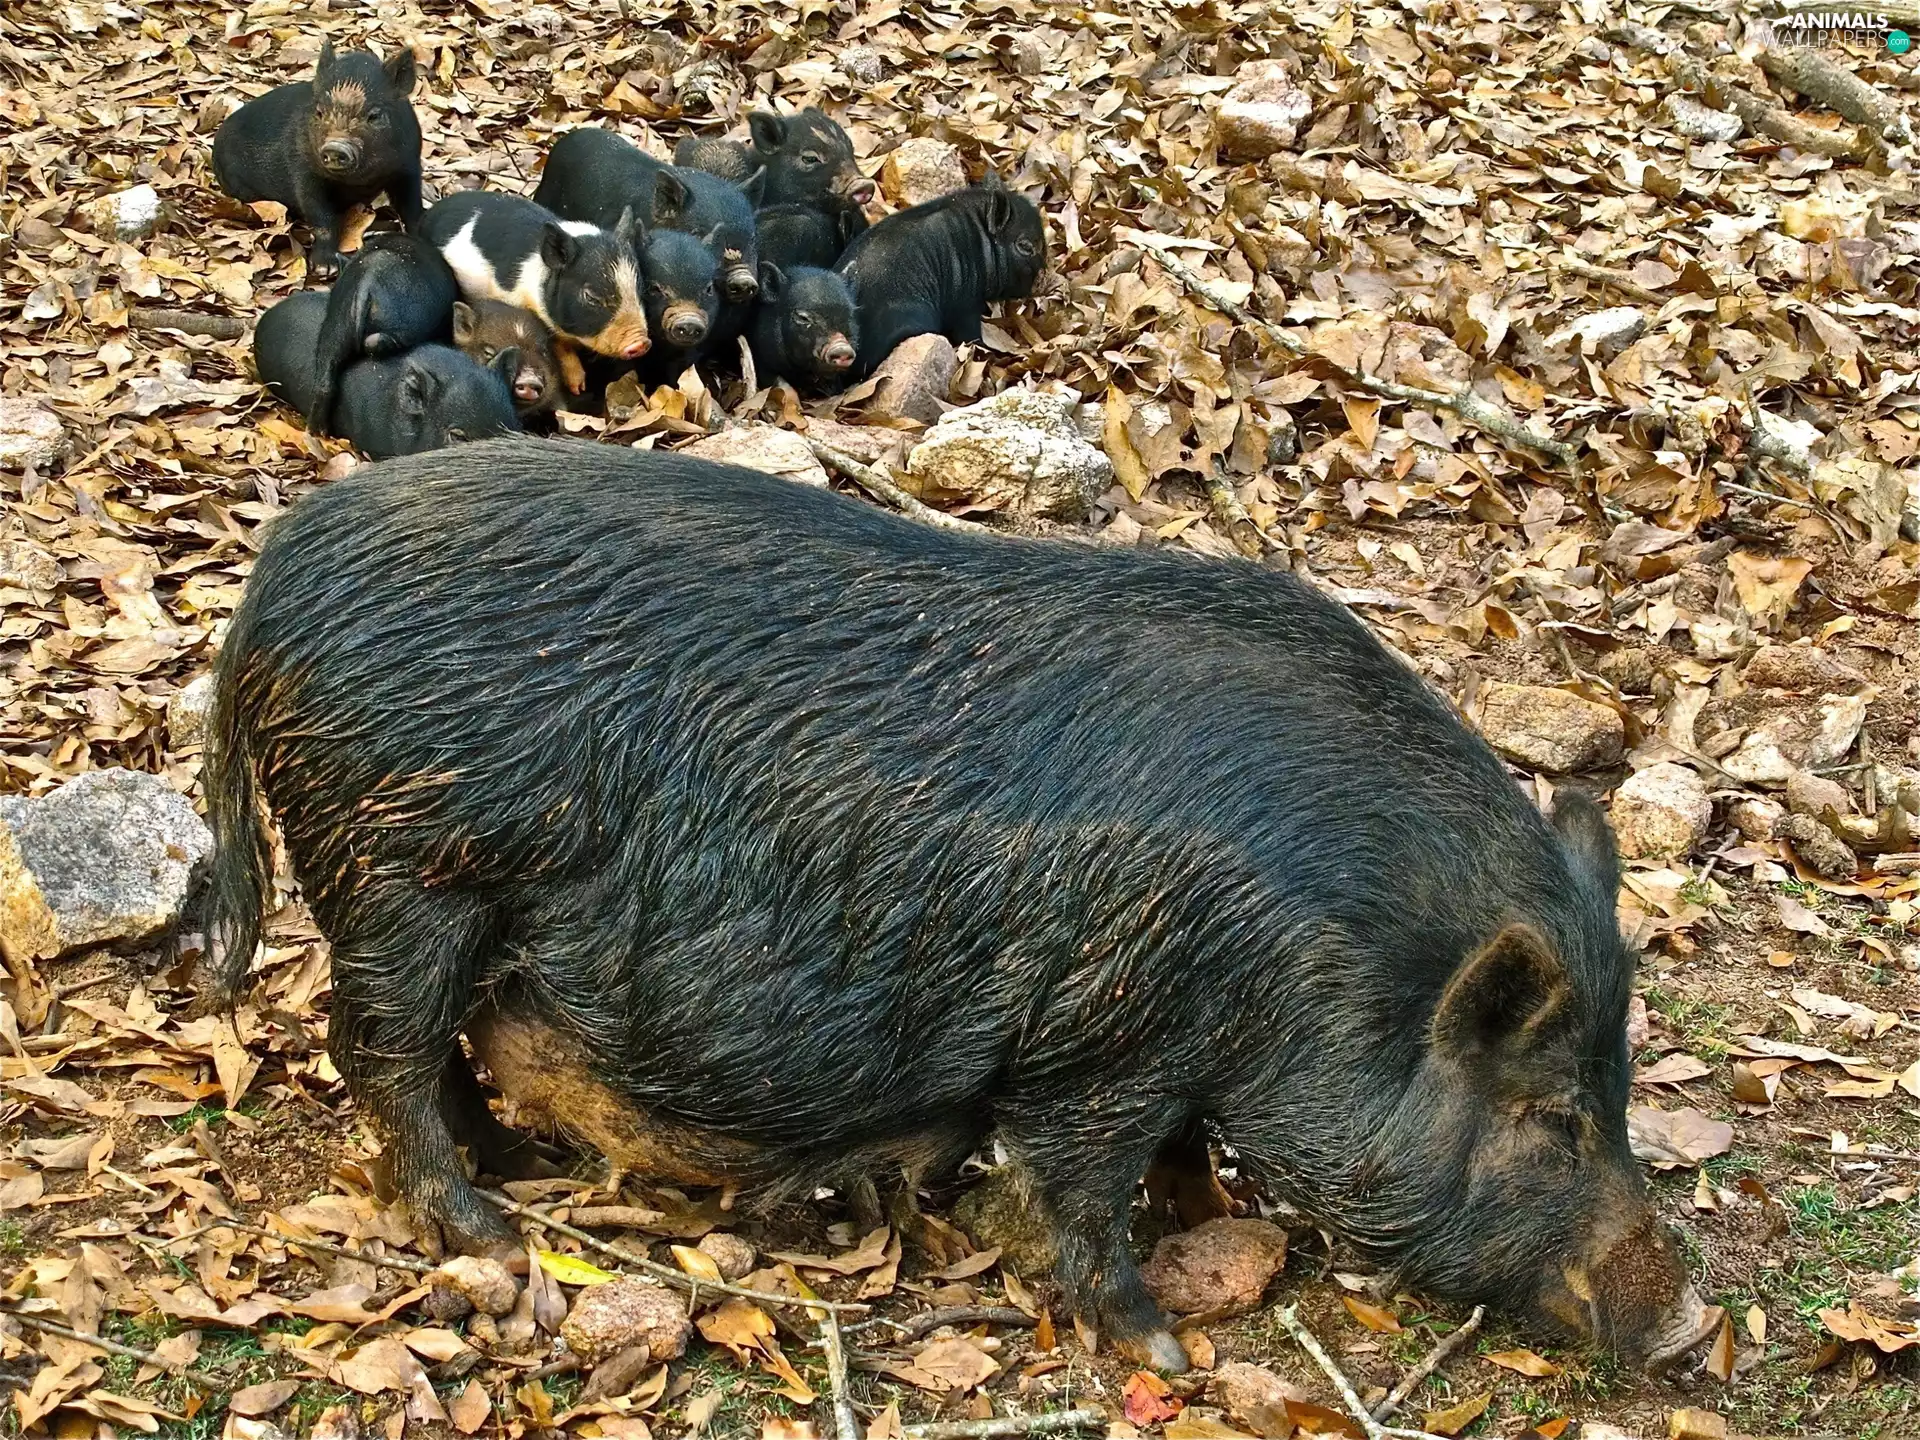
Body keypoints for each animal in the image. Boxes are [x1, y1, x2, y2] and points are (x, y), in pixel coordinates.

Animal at [202, 437, 1709, 1377]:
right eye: (1553, 1117)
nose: (1686, 1321)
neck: (1321, 959)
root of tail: (269, 582)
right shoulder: (1107, 1039)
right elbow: (1080, 1186)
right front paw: (1165, 1342)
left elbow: (1172, 1154)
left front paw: (1205, 1223)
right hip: (403, 869)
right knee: (378, 1050)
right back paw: (490, 1230)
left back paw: (511, 1165)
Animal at [212, 42, 423, 279]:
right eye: (320, 112)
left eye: (374, 116)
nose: (336, 147)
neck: (358, 182)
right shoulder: (304, 170)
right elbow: (320, 216)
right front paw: (326, 269)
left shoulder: (409, 166)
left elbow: (412, 207)